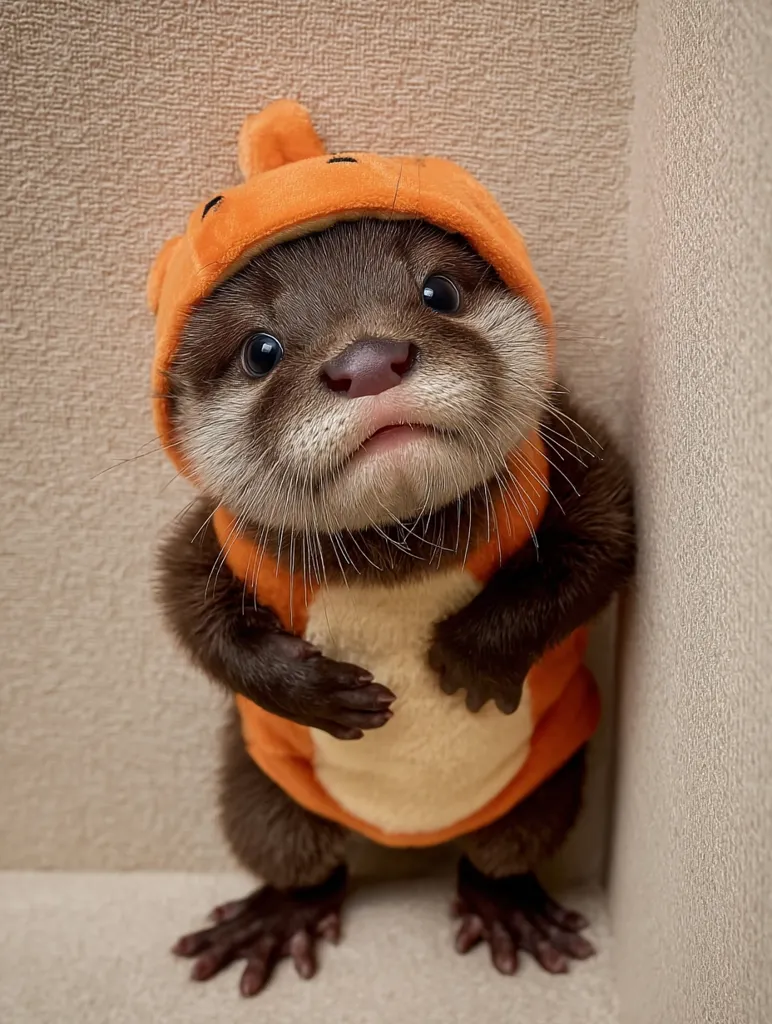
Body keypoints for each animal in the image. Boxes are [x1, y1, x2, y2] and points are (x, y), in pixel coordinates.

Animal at [156, 216, 635, 997]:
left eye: (438, 291)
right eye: (260, 349)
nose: (369, 361)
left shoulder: (575, 461)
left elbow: (605, 541)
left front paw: (467, 656)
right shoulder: (212, 539)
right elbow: (187, 610)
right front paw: (319, 693)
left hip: (546, 785)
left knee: (509, 846)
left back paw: (507, 906)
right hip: (259, 789)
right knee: (290, 851)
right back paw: (279, 915)